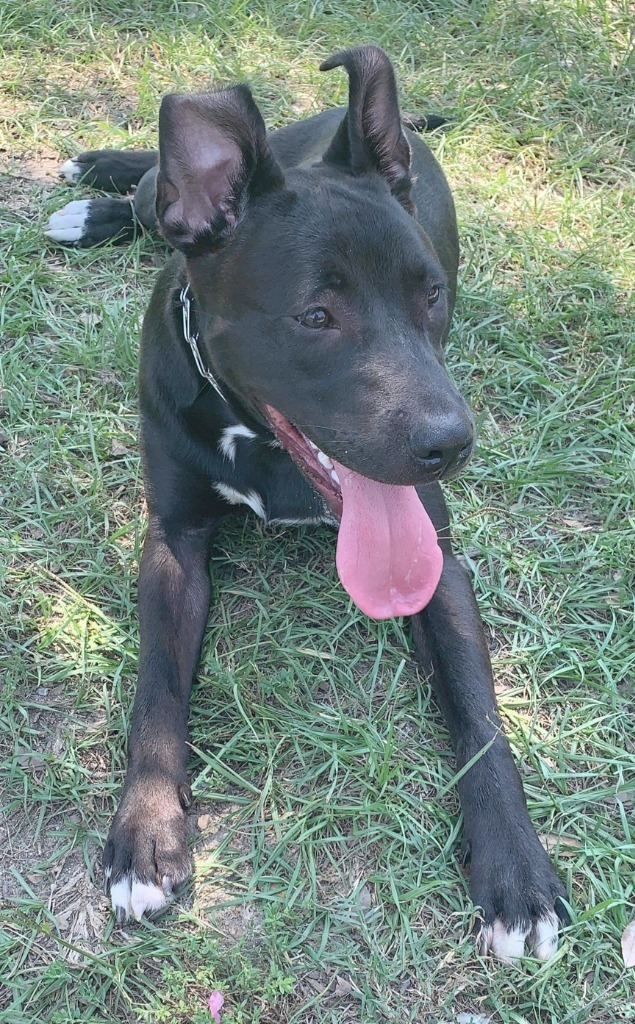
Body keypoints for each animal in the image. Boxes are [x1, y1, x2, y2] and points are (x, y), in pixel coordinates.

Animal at [47, 46, 569, 958]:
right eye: (315, 316)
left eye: (431, 293)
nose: (451, 443)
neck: (258, 440)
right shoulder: (172, 541)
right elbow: (156, 691)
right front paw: (145, 832)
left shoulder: (438, 563)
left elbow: (479, 715)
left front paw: (516, 866)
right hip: (166, 201)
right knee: (152, 195)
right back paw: (101, 190)